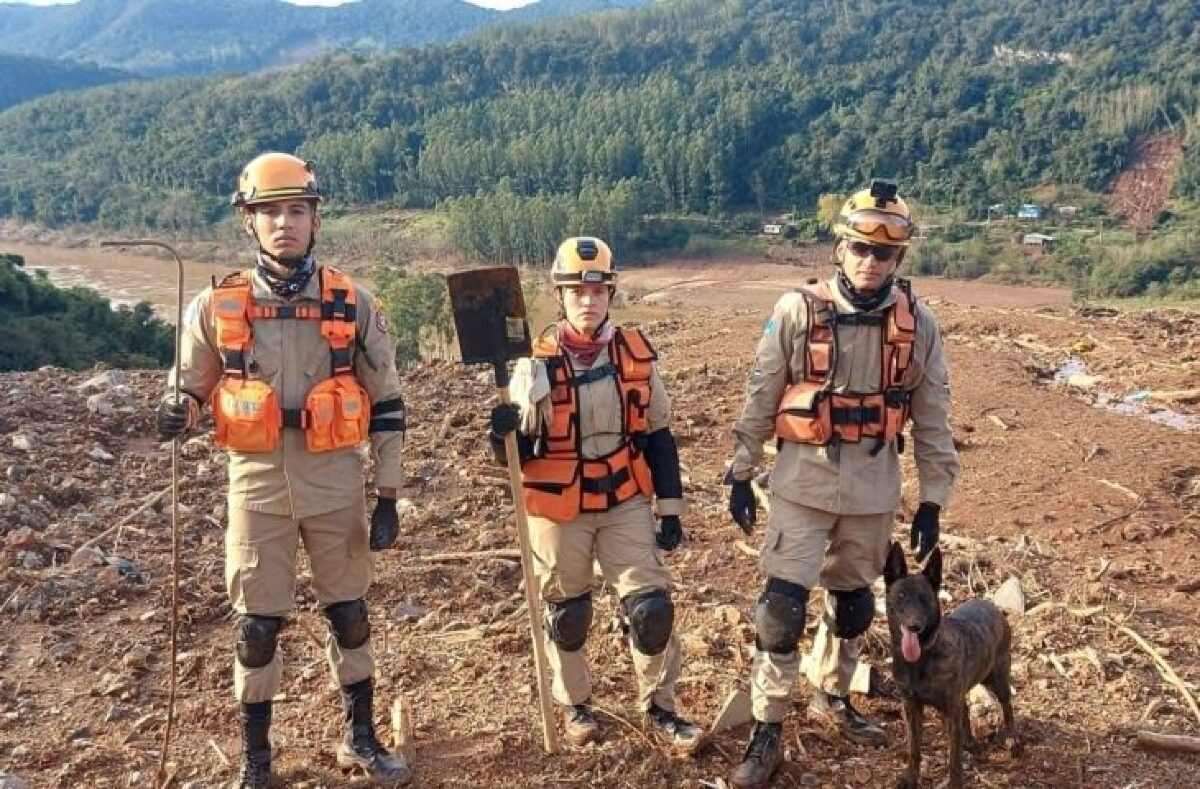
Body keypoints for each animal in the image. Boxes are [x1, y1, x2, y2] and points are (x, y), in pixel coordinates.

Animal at [883, 544, 1022, 781]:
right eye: (900, 596)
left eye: (924, 598)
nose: (914, 627)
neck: (921, 661)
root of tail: (990, 604)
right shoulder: (912, 706)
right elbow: (914, 749)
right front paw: (910, 779)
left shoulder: (950, 711)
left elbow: (954, 760)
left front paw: (954, 780)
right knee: (965, 709)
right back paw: (970, 741)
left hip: (997, 680)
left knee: (1007, 705)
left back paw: (1011, 738)